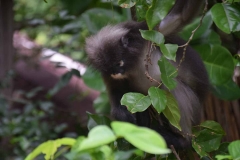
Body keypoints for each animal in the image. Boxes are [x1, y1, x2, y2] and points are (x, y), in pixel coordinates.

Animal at [86, 0, 208, 149]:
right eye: (108, 69)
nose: (116, 73)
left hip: (195, 109)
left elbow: (183, 15)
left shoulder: (150, 34)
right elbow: (115, 89)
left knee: (173, 87)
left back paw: (182, 140)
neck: (134, 62)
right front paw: (121, 114)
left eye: (118, 63)